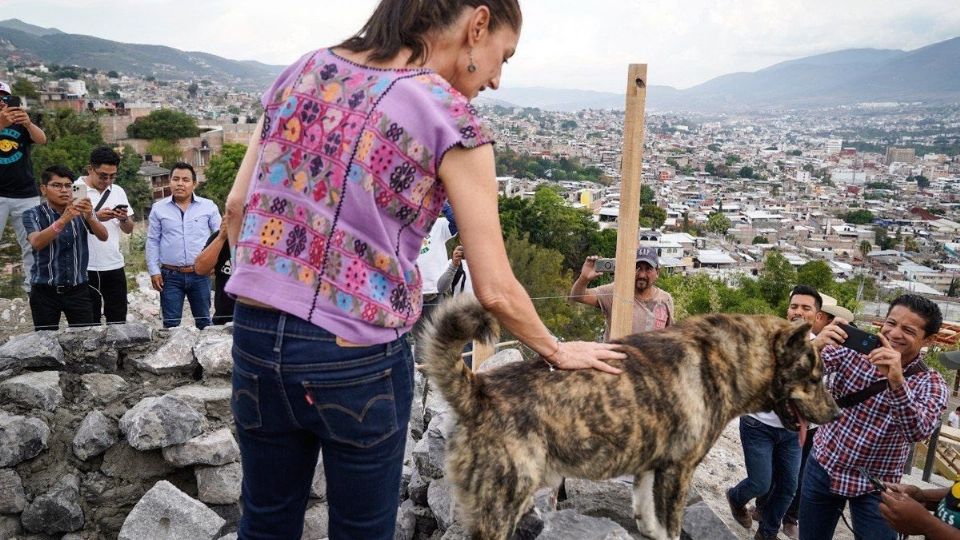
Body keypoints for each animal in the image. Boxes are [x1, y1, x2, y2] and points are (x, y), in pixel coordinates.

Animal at [422, 296, 840, 540]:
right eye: (816, 377)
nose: (837, 412)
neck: (727, 357)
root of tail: (480, 390)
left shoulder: (650, 469)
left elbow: (648, 519)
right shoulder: (678, 471)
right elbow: (671, 526)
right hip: (501, 505)